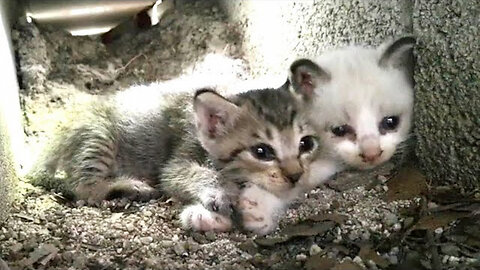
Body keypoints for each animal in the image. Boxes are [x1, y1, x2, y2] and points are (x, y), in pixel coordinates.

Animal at [32, 79, 318, 233]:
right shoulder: (178, 161)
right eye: (262, 151)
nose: (295, 175)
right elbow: (192, 174)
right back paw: (128, 185)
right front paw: (220, 194)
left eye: (305, 144)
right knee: (84, 187)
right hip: (98, 138)